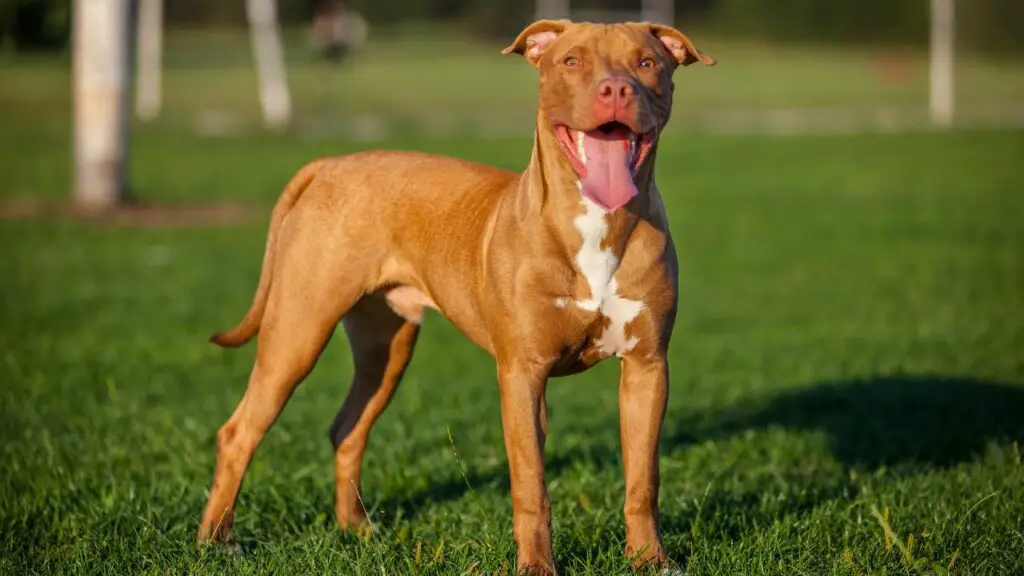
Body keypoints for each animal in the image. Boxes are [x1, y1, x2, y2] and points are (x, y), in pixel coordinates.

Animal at [197, 20, 712, 569]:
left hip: (387, 349)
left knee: (348, 428)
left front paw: (651, 561)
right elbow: (531, 486)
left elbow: (643, 480)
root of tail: (330, 164)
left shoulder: (647, 368)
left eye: (647, 63)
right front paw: (536, 567)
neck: (597, 223)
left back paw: (355, 528)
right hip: (297, 333)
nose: (615, 89)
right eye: (572, 61)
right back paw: (217, 540)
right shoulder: (523, 374)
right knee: (240, 432)